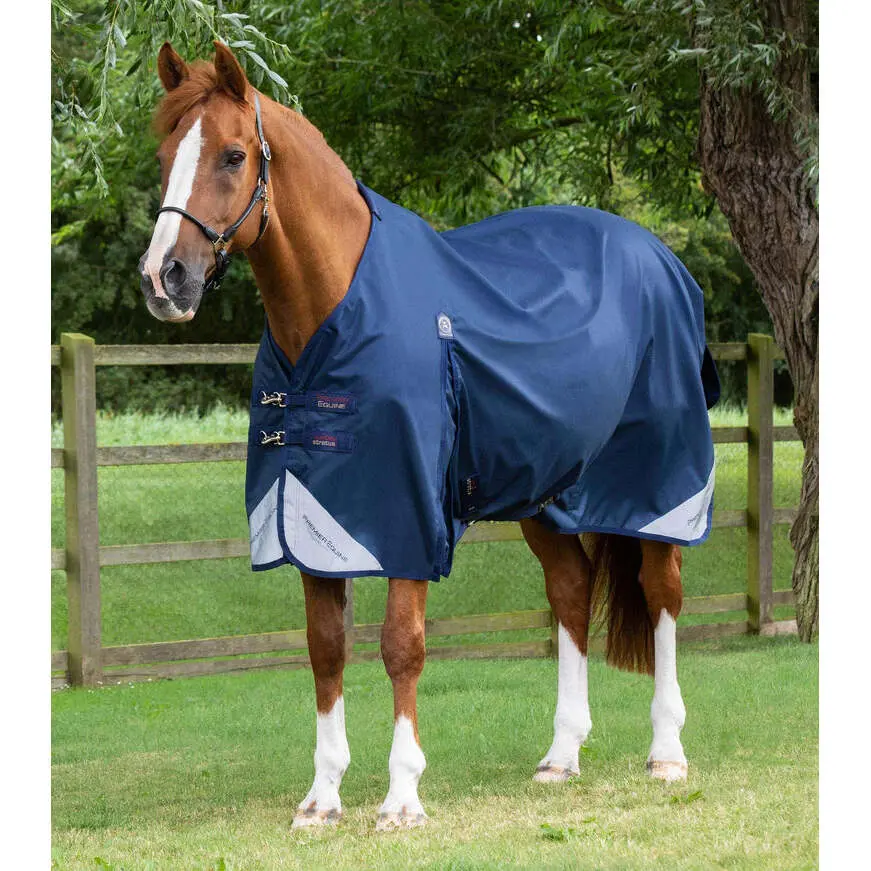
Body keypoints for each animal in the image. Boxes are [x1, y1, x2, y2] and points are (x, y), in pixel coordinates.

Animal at [139, 42, 719, 831]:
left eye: (232, 155)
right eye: (165, 154)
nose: (163, 278)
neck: (331, 319)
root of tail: (662, 261)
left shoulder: (406, 514)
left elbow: (401, 646)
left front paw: (402, 797)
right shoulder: (311, 513)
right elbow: (326, 649)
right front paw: (321, 798)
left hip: (656, 485)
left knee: (662, 595)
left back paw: (666, 752)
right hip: (543, 494)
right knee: (571, 592)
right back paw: (560, 756)